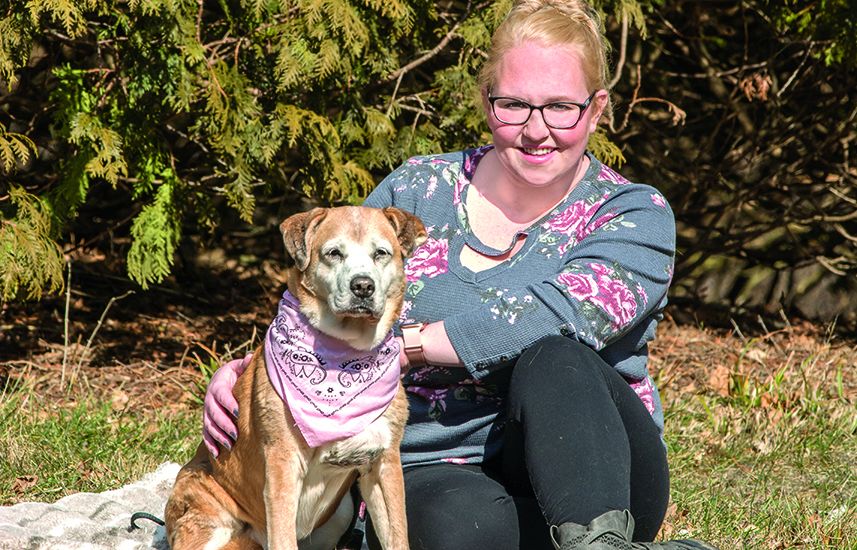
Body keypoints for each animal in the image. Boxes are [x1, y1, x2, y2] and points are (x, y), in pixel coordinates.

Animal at [166, 208, 424, 550]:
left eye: (381, 253)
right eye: (334, 253)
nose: (363, 286)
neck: (346, 356)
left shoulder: (383, 464)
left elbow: (397, 536)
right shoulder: (283, 468)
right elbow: (283, 536)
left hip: (340, 512)